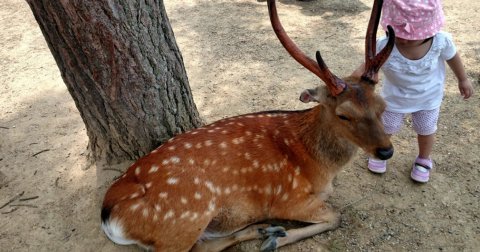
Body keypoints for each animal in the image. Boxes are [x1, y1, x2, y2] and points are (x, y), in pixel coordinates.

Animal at [100, 0, 394, 251]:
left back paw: (264, 229)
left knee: (206, 245)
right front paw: (277, 241)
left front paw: (273, 236)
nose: (386, 151)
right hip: (185, 218)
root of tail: (108, 215)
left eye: (382, 106)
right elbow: (335, 216)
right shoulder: (287, 198)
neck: (320, 168)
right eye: (344, 115)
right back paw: (268, 232)